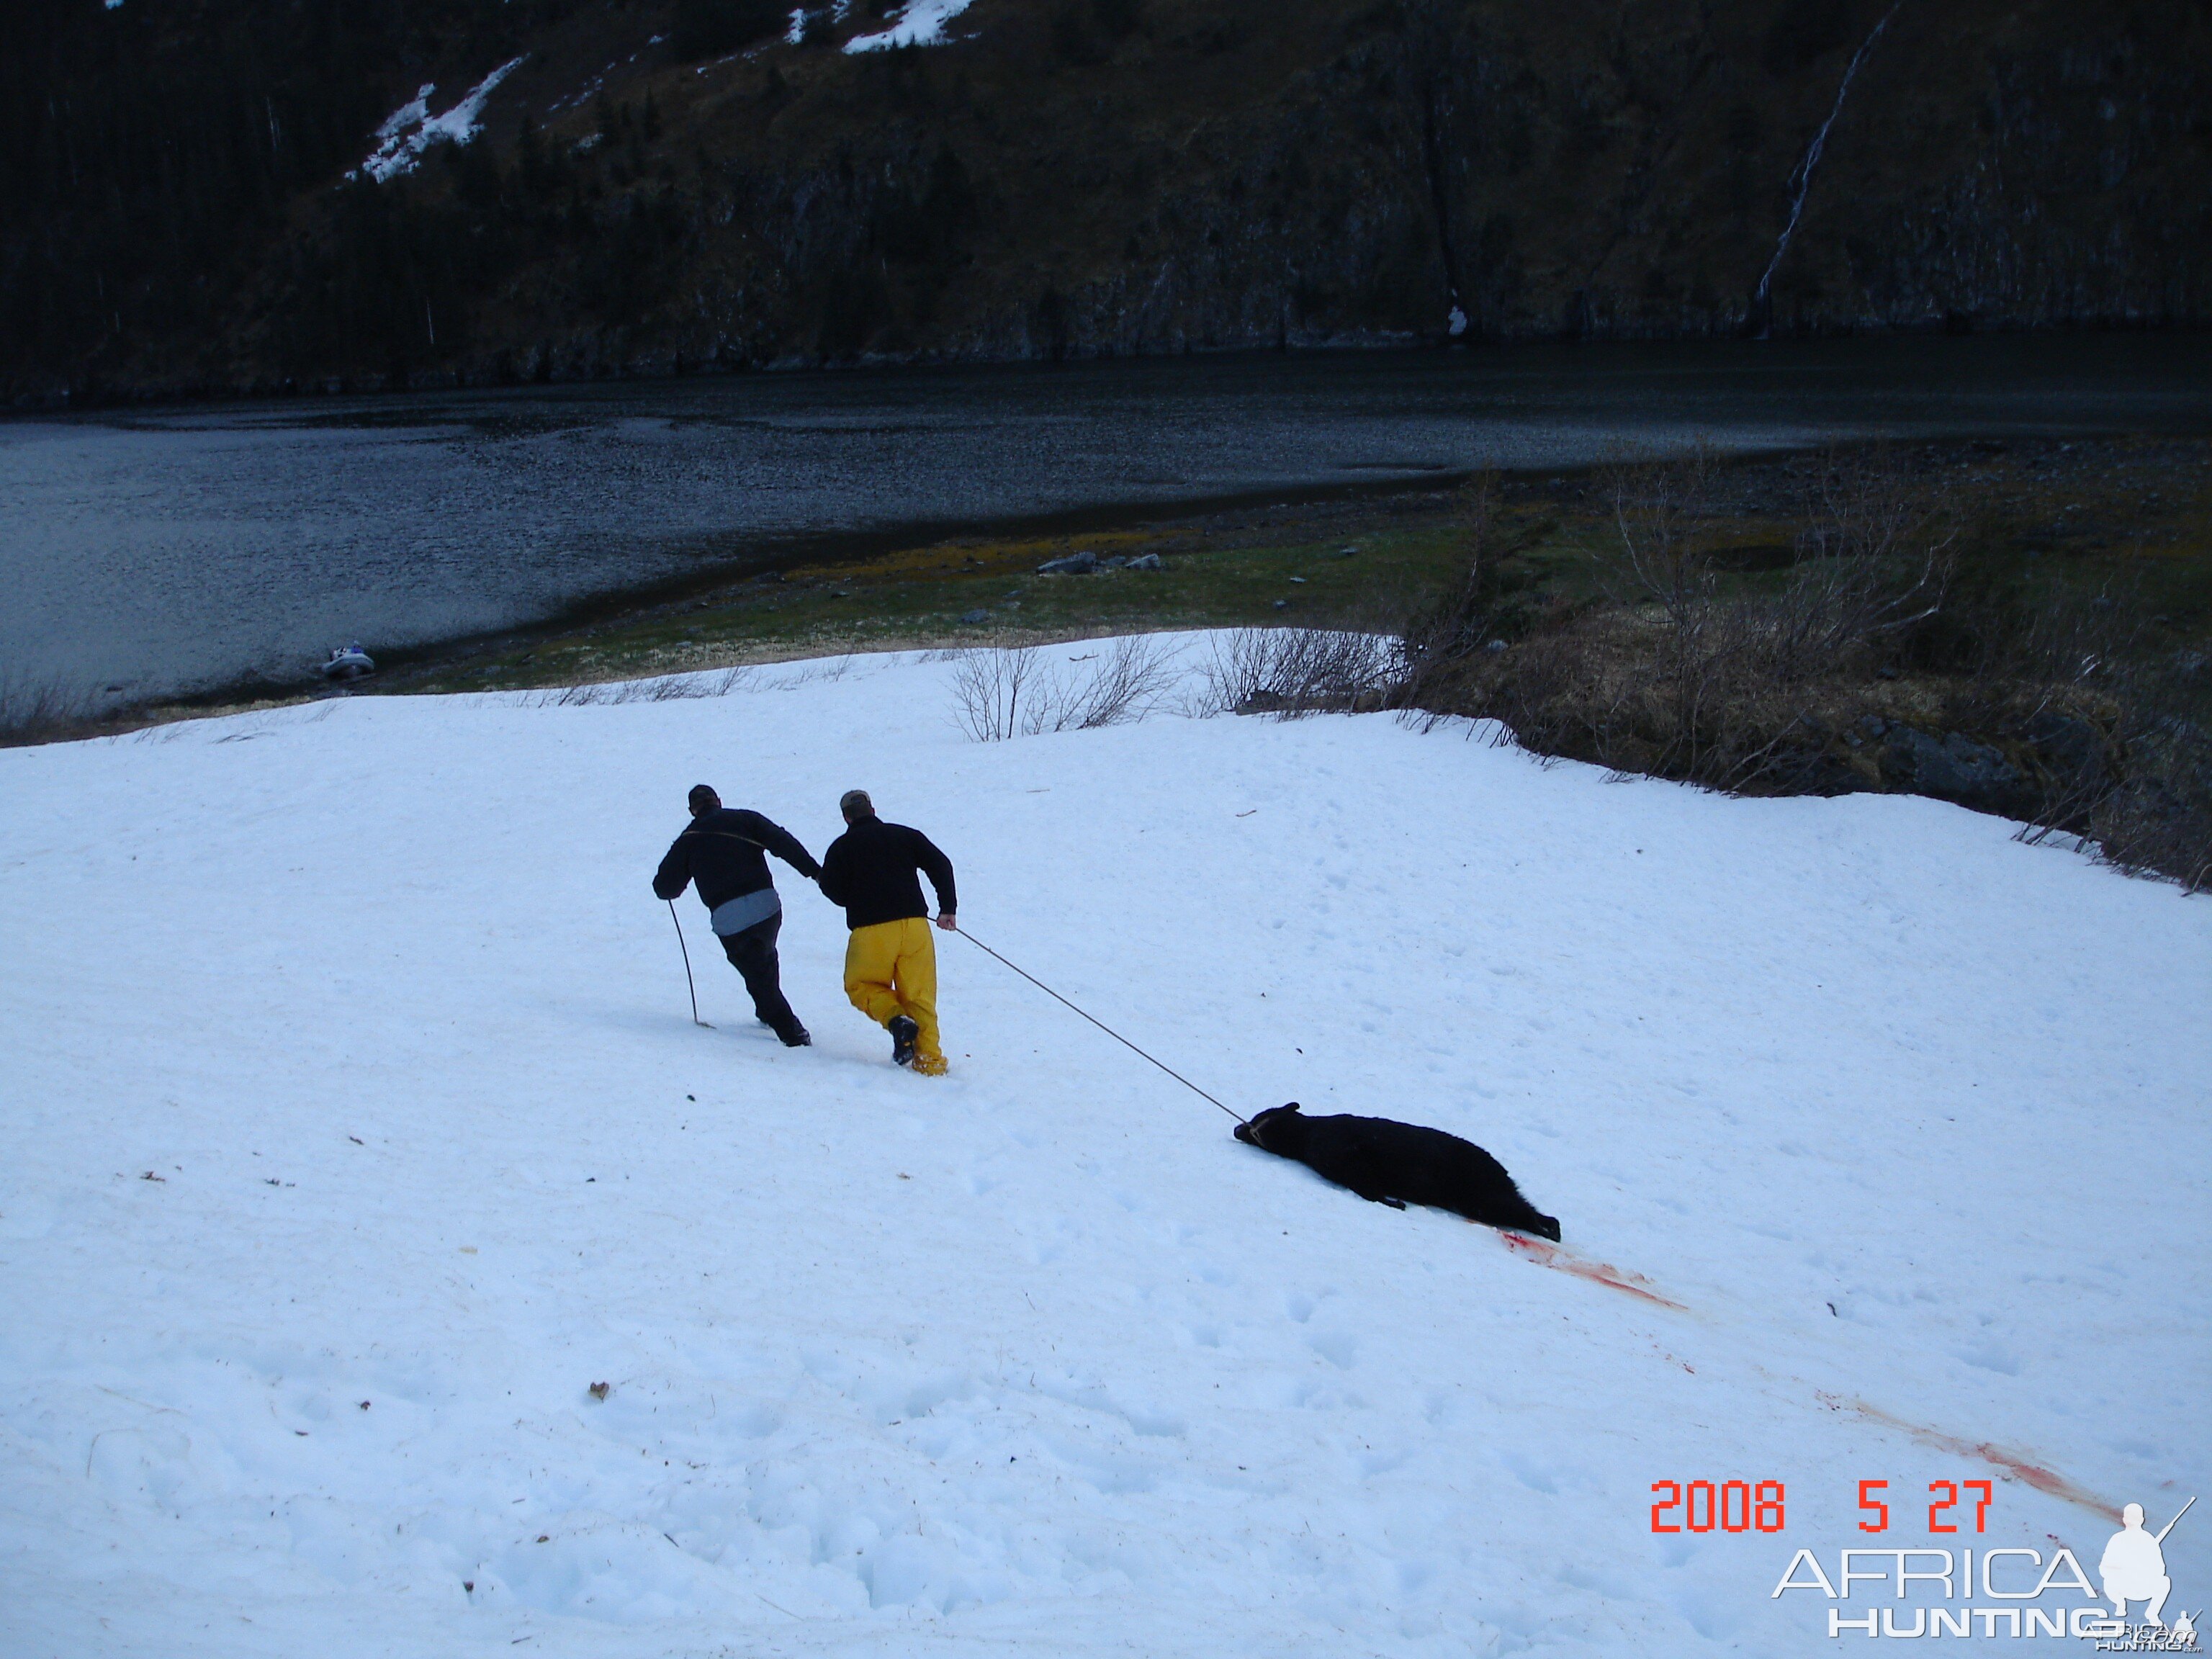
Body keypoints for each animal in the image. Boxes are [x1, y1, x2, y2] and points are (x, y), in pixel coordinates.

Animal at [1238, 1110, 1565, 1238]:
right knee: (1538, 1213)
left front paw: (1393, 1203)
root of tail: (1498, 1169)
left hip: (1485, 1198)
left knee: (1532, 1216)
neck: (1308, 1134)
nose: (1237, 1128)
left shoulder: (1345, 1158)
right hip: (1490, 1198)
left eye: (1258, 1121)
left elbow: (1369, 1191)